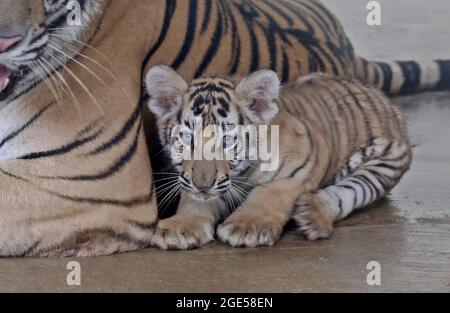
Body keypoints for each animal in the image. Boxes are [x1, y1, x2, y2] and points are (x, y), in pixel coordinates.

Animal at [0, 0, 448, 256]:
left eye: (230, 141)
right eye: (185, 139)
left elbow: (269, 194)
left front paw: (248, 226)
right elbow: (193, 201)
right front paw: (179, 228)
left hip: (383, 160)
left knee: (348, 192)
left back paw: (313, 215)